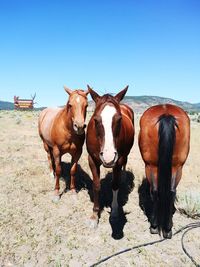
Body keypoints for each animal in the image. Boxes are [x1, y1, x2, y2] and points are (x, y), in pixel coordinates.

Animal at [86, 86, 134, 230]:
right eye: (95, 120)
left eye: (119, 119)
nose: (108, 157)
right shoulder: (92, 160)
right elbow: (96, 185)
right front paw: (94, 215)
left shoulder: (118, 161)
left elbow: (115, 185)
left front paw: (114, 212)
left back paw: (124, 177)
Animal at [138, 104, 190, 239]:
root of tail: (166, 114)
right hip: (175, 167)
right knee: (168, 191)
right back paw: (164, 227)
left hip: (153, 166)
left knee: (159, 191)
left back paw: (156, 226)